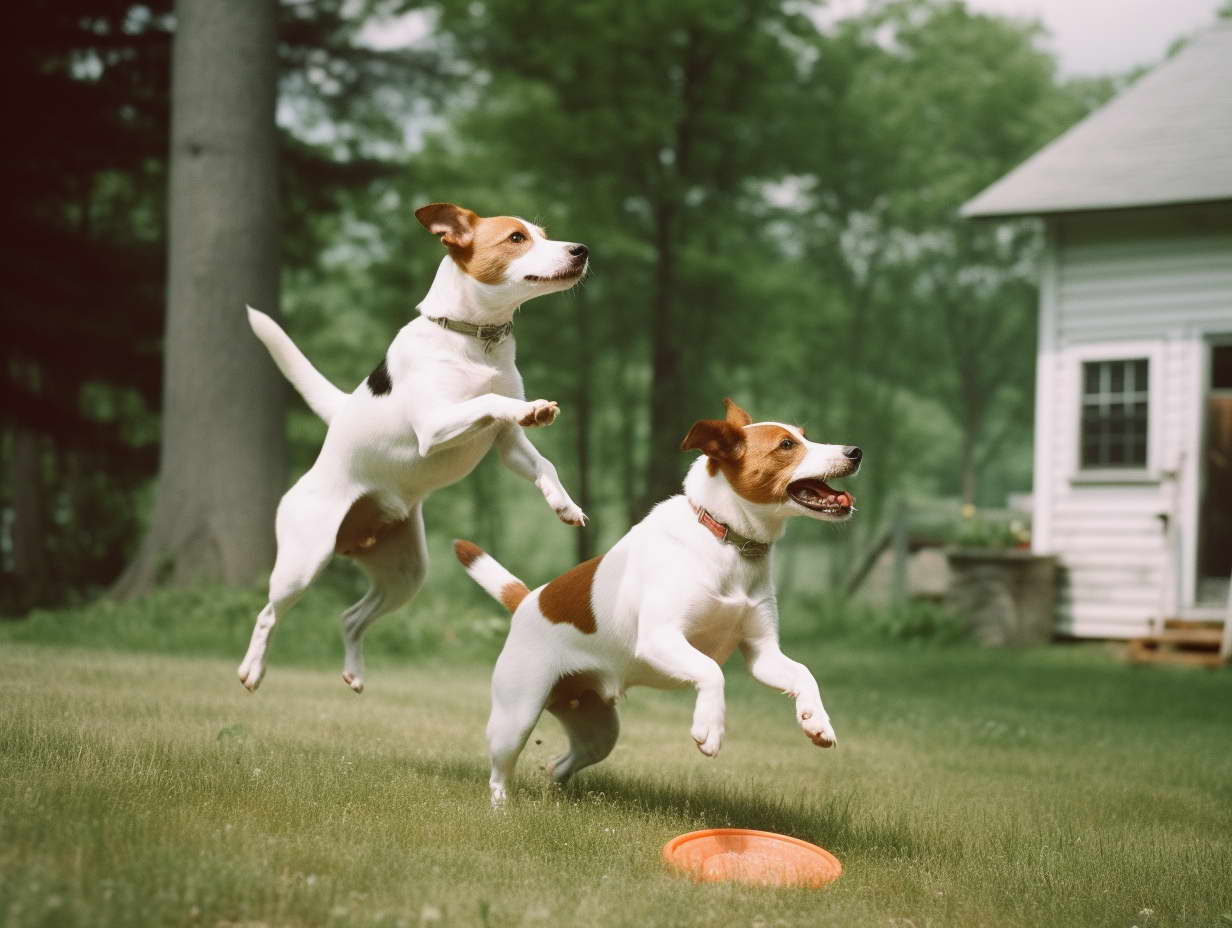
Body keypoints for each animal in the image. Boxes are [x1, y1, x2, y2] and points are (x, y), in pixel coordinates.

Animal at [239, 204, 591, 695]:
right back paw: (252, 669)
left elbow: (545, 464)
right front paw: (532, 408)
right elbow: (489, 401)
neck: (473, 338)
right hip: (301, 563)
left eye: (544, 234)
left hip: (405, 574)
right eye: (517, 238)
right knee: (267, 615)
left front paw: (564, 505)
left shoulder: (507, 445)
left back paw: (354, 671)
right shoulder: (435, 426)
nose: (581, 250)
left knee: (351, 618)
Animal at [453, 399, 857, 803]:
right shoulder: (660, 638)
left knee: (565, 761)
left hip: (598, 728)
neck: (726, 538)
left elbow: (803, 673)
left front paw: (816, 720)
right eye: (786, 445)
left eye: (805, 435)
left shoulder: (763, 653)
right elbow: (711, 671)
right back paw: (502, 806)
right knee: (499, 772)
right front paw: (710, 727)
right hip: (515, 716)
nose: (855, 452)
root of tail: (527, 600)